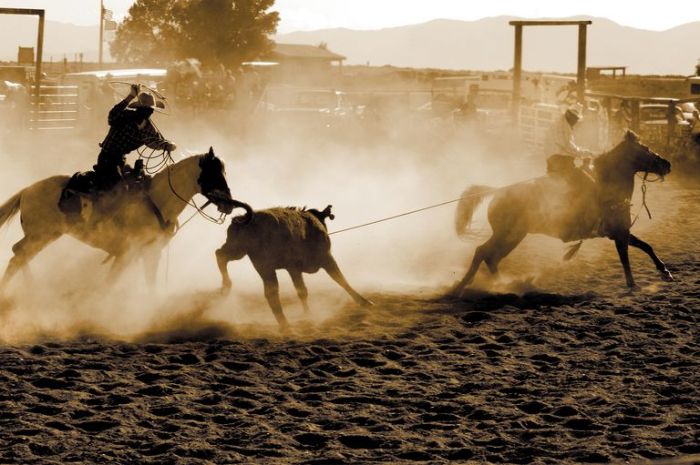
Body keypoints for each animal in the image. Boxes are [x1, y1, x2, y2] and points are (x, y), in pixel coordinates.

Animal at [216, 203, 372, 326]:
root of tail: (243, 219)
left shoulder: (293, 268)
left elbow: (302, 290)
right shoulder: (325, 258)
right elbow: (340, 280)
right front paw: (364, 302)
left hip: (240, 251)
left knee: (221, 255)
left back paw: (226, 287)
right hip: (260, 261)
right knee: (272, 291)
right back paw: (285, 325)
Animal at [454, 130, 672, 290]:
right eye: (646, 149)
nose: (667, 164)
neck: (608, 186)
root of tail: (498, 191)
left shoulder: (620, 231)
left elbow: (646, 246)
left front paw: (665, 271)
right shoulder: (620, 234)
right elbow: (625, 257)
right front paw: (632, 284)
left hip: (513, 236)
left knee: (491, 258)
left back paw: (503, 284)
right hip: (508, 234)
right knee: (483, 252)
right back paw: (464, 286)